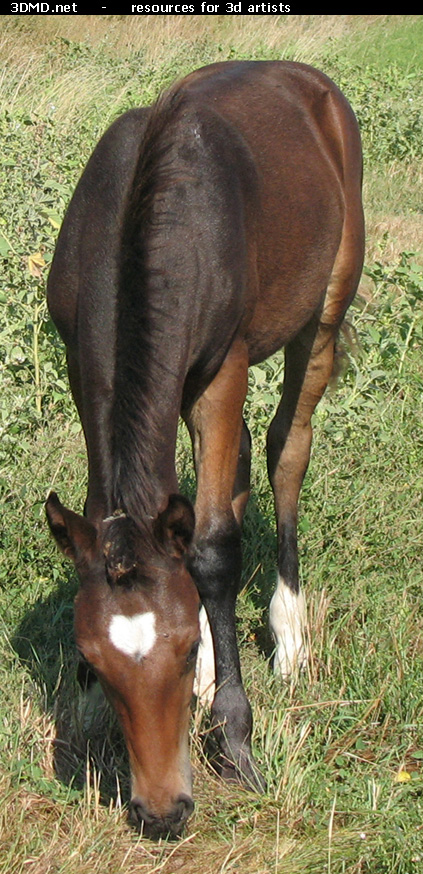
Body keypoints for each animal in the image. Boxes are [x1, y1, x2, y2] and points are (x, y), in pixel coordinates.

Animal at [45, 58, 364, 836]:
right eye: (93, 659)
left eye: (184, 644)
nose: (161, 812)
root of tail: (307, 82)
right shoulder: (83, 368)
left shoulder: (223, 368)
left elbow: (215, 548)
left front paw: (236, 738)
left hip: (322, 309)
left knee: (285, 449)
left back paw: (288, 633)